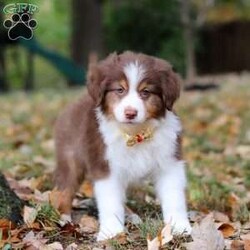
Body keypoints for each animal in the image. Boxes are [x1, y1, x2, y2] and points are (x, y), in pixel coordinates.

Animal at [53, 50, 191, 240]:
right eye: (120, 90)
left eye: (145, 92)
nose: (130, 113)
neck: (136, 133)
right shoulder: (105, 165)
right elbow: (110, 201)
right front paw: (111, 232)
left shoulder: (169, 161)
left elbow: (174, 196)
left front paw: (179, 226)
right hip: (71, 158)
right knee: (64, 190)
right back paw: (64, 218)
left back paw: (131, 215)